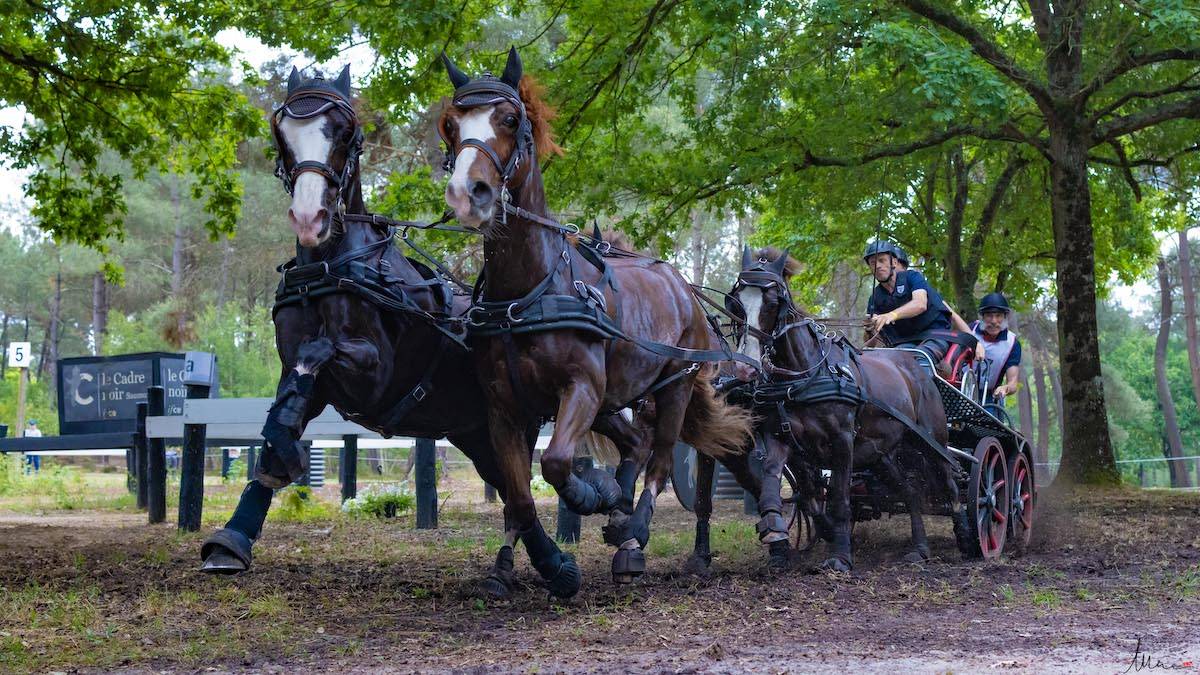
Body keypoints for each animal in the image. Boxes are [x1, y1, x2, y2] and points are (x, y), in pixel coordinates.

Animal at [441, 48, 753, 593]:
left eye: (510, 119)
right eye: (452, 126)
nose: (467, 192)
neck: (530, 292)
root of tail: (682, 285)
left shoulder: (581, 388)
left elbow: (557, 463)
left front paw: (592, 497)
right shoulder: (504, 409)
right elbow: (519, 495)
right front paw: (548, 564)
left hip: (674, 384)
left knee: (660, 457)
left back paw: (633, 533)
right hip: (619, 396)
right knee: (637, 443)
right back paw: (620, 511)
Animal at [724, 246, 969, 566]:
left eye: (773, 300)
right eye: (735, 302)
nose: (745, 366)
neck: (804, 375)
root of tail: (915, 366)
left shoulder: (842, 441)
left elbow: (839, 498)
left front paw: (840, 555)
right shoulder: (784, 440)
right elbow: (786, 490)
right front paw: (780, 533)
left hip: (932, 440)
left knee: (950, 482)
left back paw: (967, 535)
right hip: (882, 455)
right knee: (910, 492)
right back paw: (919, 548)